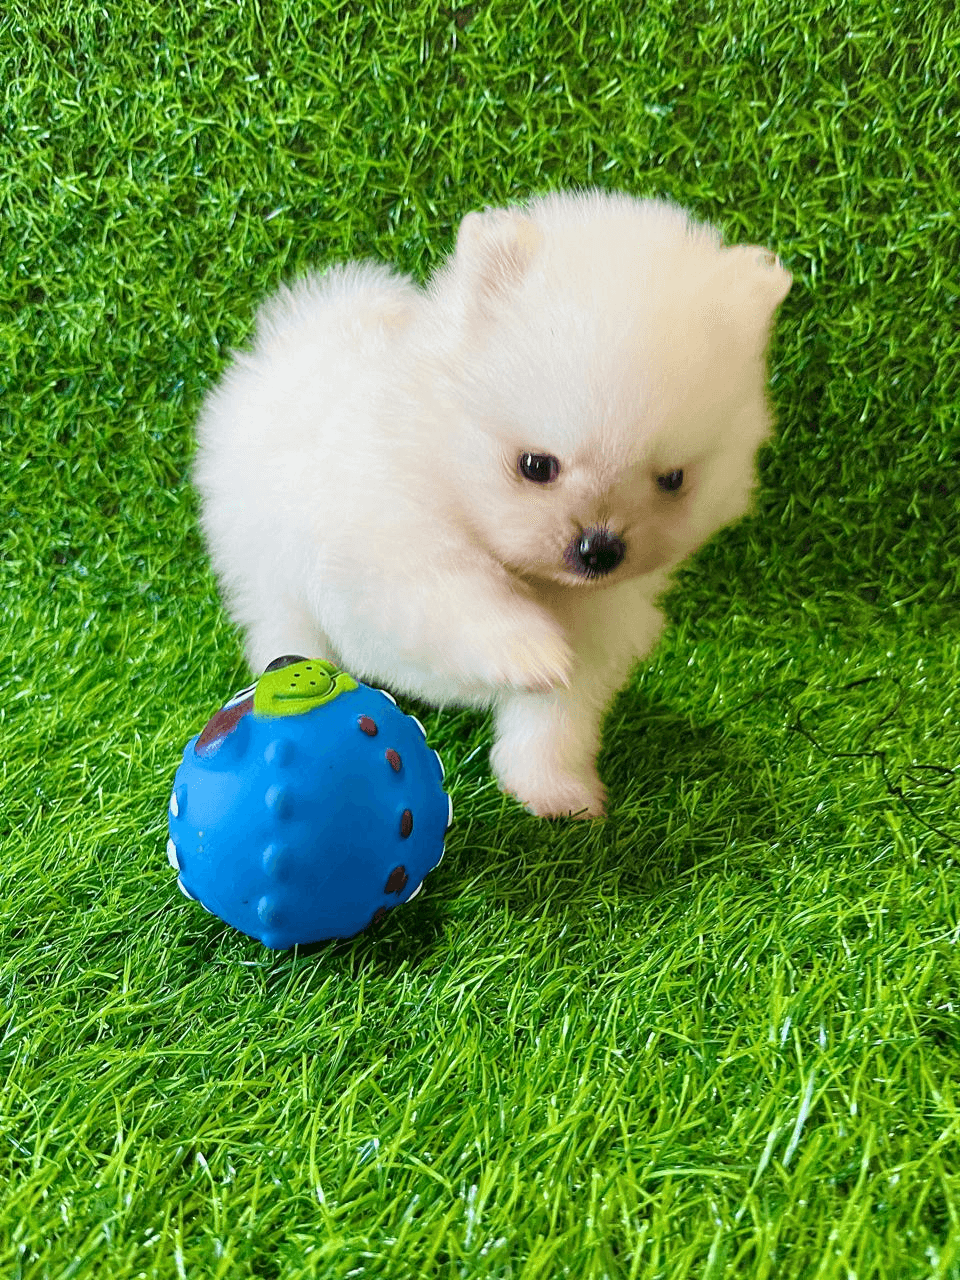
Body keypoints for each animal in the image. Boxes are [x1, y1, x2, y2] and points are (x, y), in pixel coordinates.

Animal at [193, 186, 788, 814]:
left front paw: (556, 792)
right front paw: (529, 649)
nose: (600, 549)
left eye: (672, 479)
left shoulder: (600, 628)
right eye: (536, 466)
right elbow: (465, 597)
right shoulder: (389, 554)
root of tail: (294, 338)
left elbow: (557, 718)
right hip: (259, 556)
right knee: (278, 620)